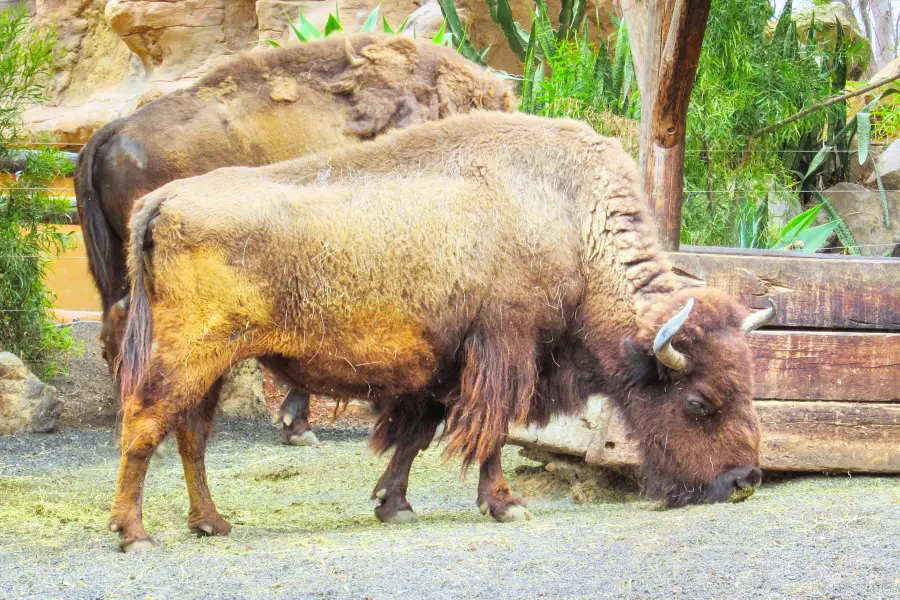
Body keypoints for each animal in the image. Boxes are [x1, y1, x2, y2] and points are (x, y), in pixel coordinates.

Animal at [110, 110, 772, 552]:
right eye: (699, 402)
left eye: (748, 389)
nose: (745, 481)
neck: (570, 223)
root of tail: (163, 200)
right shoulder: (504, 350)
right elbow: (489, 432)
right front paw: (506, 505)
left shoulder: (441, 368)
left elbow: (414, 434)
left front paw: (394, 505)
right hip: (189, 353)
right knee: (144, 423)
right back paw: (135, 533)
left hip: (215, 364)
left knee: (190, 435)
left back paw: (211, 523)